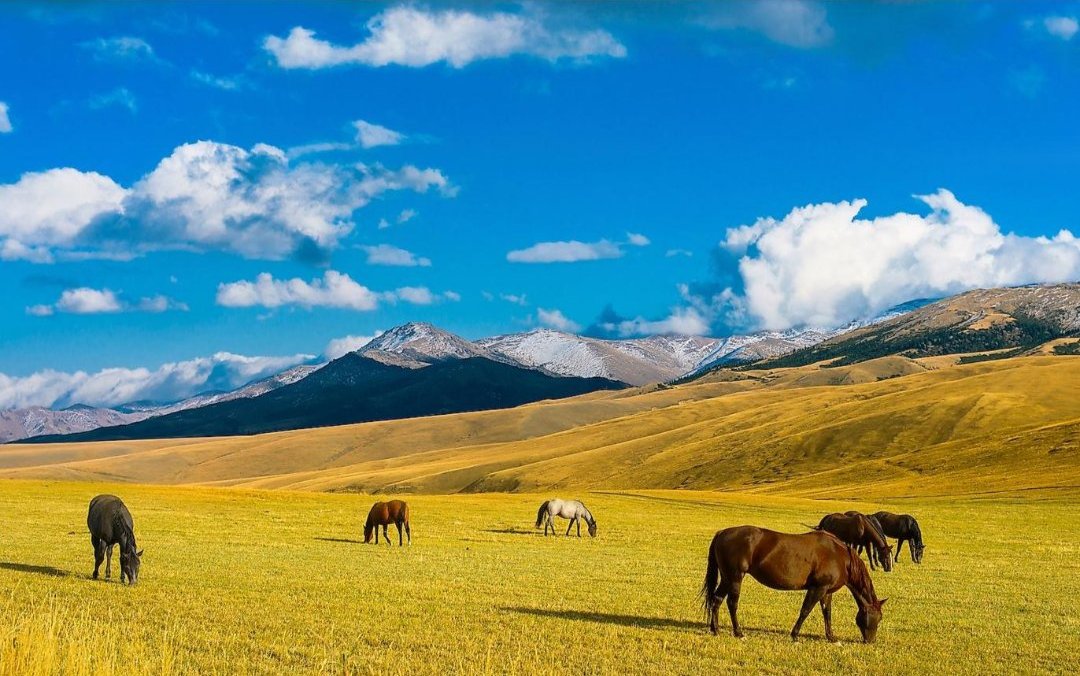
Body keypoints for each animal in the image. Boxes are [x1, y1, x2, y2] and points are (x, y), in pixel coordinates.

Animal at [701, 526, 887, 643]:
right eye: (876, 618)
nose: (871, 641)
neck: (838, 556)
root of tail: (722, 533)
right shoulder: (817, 588)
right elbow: (805, 610)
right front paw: (795, 635)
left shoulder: (827, 591)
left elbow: (827, 613)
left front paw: (831, 637)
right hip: (735, 578)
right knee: (732, 603)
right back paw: (739, 633)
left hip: (727, 578)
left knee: (716, 600)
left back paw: (715, 630)